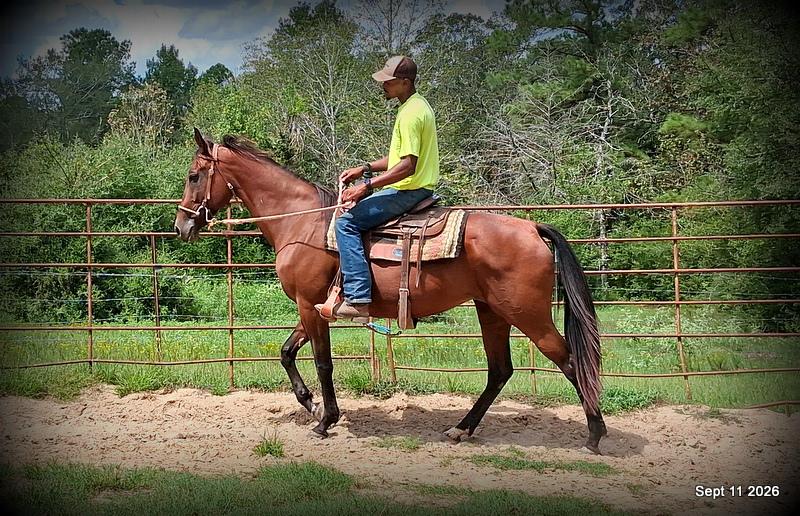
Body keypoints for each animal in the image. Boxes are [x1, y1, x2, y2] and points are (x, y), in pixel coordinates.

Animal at [174, 128, 608, 453]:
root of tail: (532, 227)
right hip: (491, 312)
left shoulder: (309, 306)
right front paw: (310, 404)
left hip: (528, 314)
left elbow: (323, 363)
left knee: (571, 362)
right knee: (500, 370)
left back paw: (595, 434)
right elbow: (286, 352)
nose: (182, 226)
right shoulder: (313, 306)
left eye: (194, 175)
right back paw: (461, 428)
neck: (302, 225)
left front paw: (325, 419)